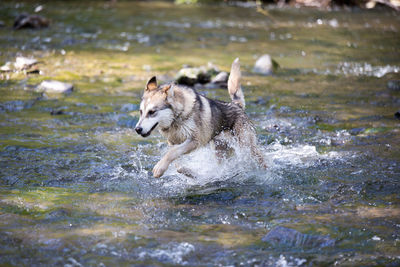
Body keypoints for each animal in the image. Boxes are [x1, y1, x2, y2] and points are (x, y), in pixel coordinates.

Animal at [135, 58, 268, 178]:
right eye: (141, 112)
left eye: (152, 112)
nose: (137, 129)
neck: (177, 118)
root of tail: (236, 105)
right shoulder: (172, 142)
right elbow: (176, 161)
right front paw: (187, 172)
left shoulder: (194, 140)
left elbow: (172, 153)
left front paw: (159, 168)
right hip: (220, 150)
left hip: (247, 147)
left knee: (262, 161)